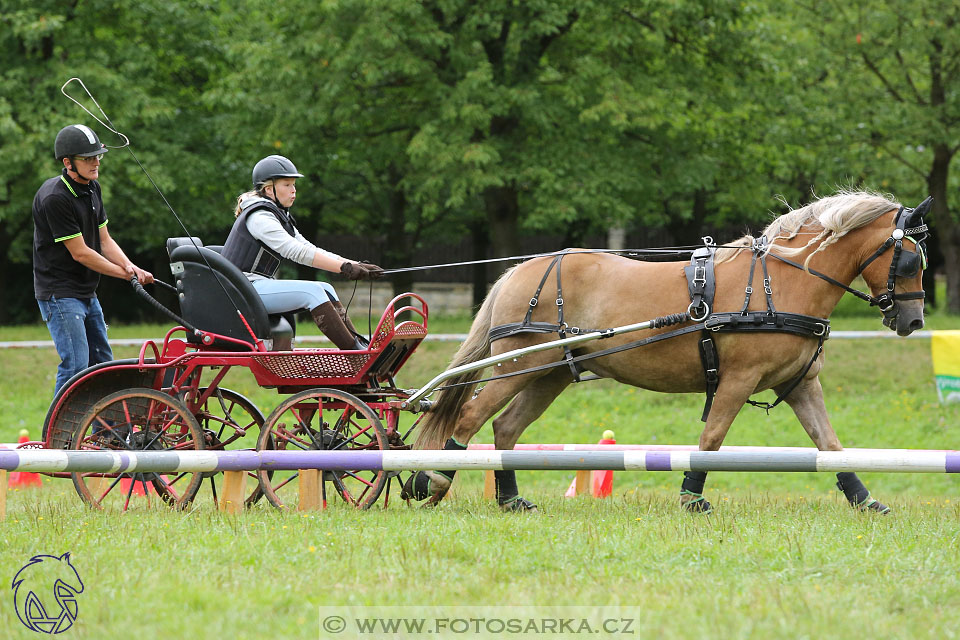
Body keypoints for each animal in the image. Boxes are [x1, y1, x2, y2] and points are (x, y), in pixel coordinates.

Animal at [404, 191, 928, 516]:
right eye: (907, 260)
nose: (914, 321)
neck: (781, 282)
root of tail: (522, 270)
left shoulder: (800, 384)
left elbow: (830, 445)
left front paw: (865, 500)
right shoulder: (738, 380)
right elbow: (712, 439)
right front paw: (692, 498)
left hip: (551, 373)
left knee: (506, 429)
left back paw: (509, 499)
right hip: (519, 363)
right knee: (470, 418)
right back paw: (432, 480)